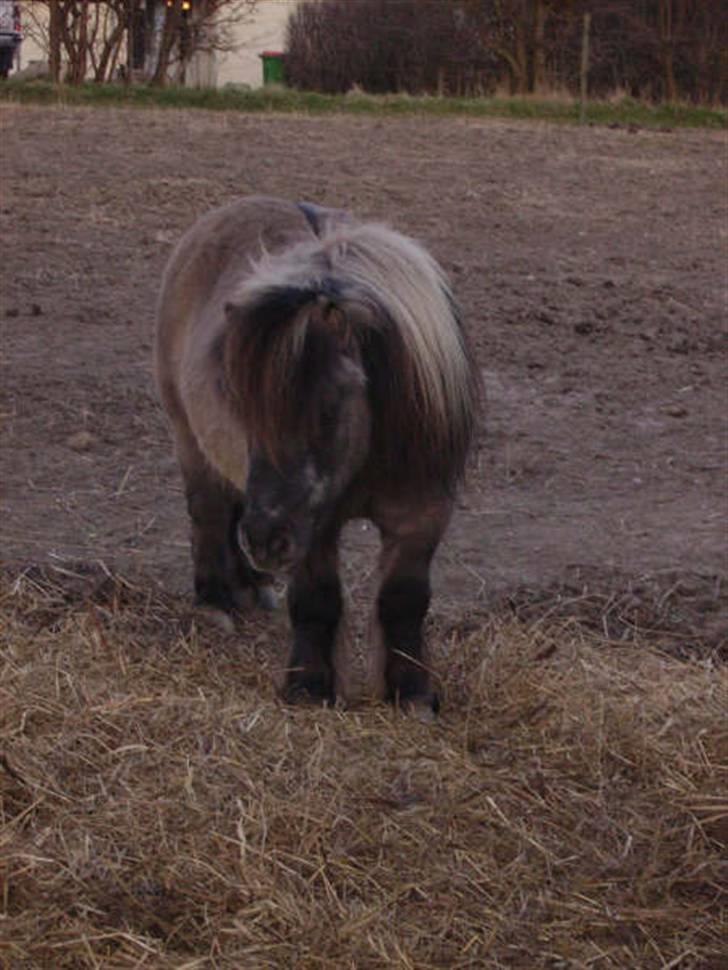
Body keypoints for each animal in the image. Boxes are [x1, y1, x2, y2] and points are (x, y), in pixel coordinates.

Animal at [155, 197, 478, 712]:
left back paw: (250, 587)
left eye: (328, 407)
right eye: (241, 409)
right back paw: (217, 601)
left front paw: (412, 693)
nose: (268, 541)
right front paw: (308, 687)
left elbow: (403, 599)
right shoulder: (313, 523)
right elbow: (316, 600)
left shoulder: (422, 514)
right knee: (208, 512)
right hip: (189, 439)